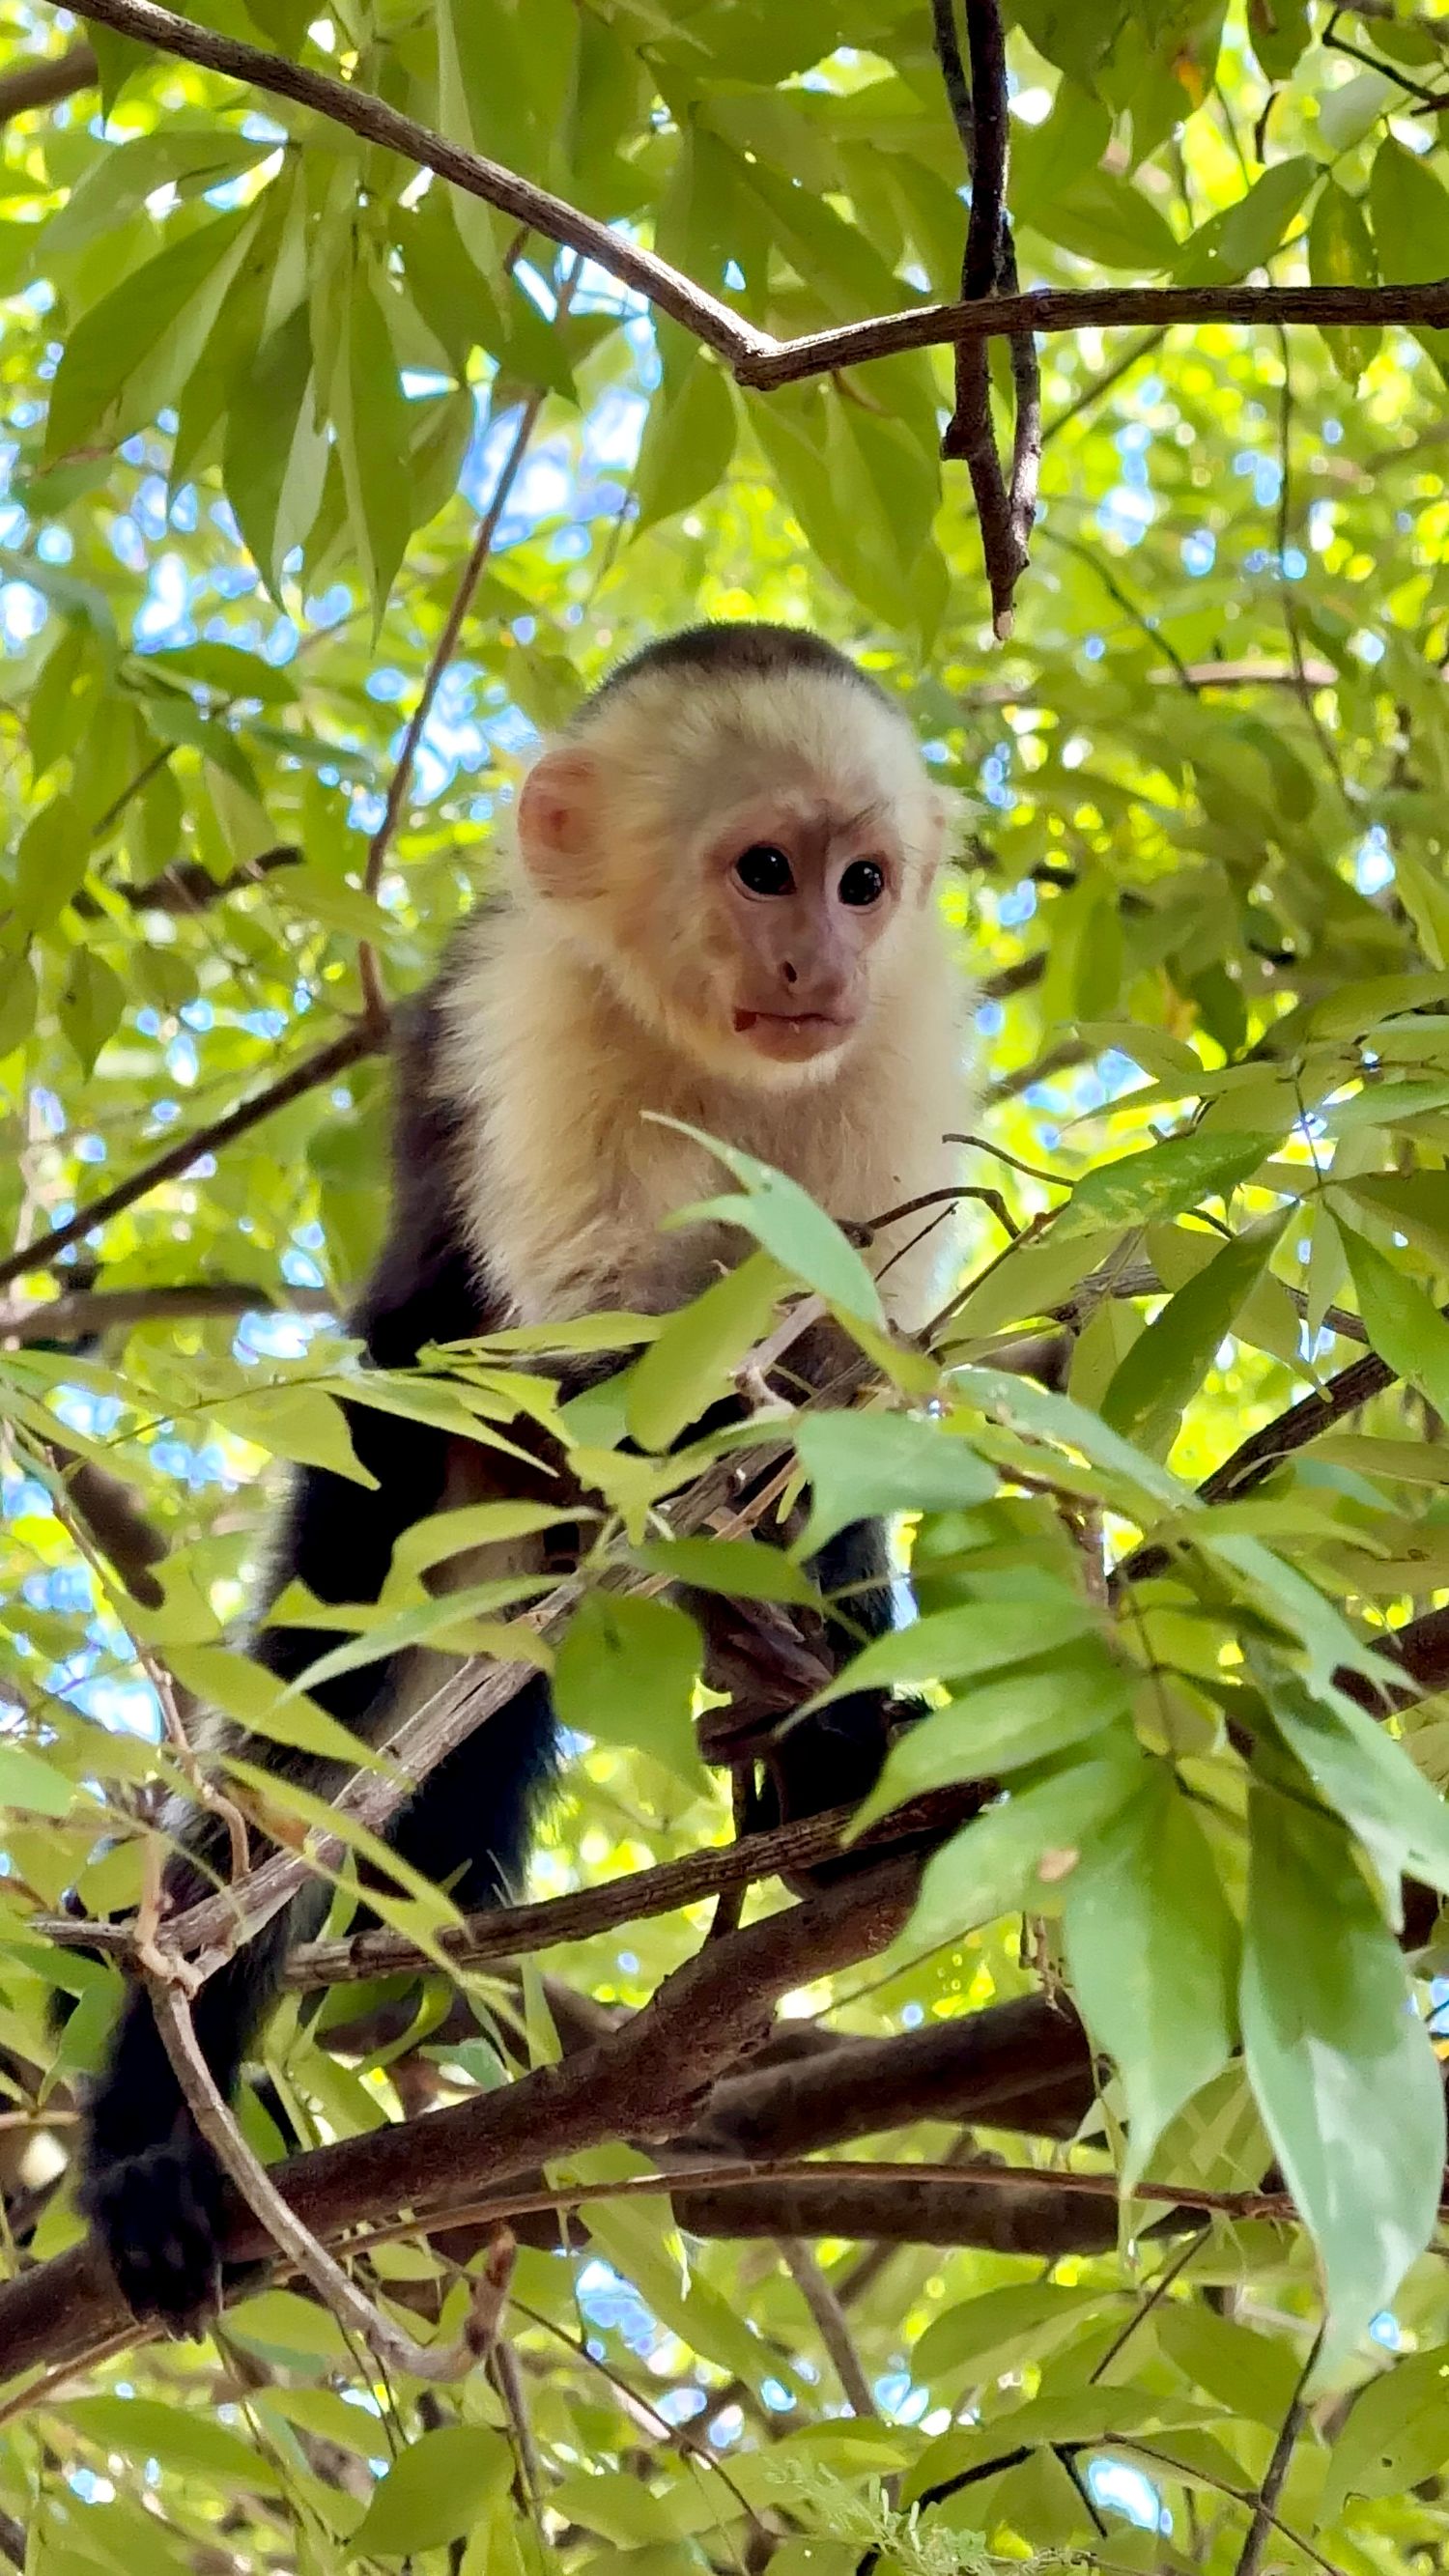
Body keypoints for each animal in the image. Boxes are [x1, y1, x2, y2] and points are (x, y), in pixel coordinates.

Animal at [79, 620, 968, 2330]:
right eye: (765, 869)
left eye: (863, 881)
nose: (817, 965)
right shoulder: (534, 1025)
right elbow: (615, 1394)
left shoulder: (898, 1052)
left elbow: (843, 1395)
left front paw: (842, 1743)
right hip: (397, 1466)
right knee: (319, 1721)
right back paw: (162, 2138)